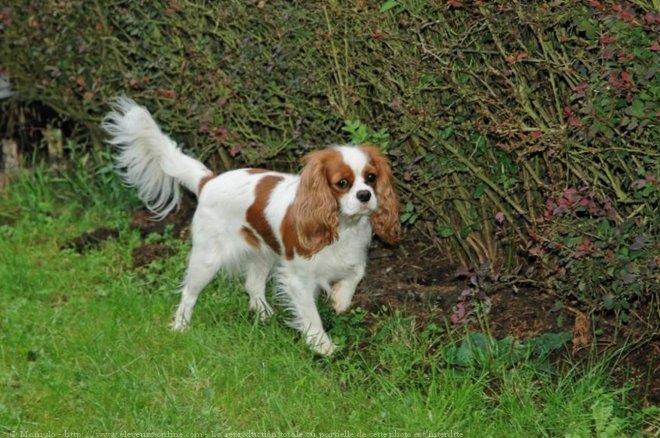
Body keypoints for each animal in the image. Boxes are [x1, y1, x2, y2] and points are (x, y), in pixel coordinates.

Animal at [103, 97, 400, 354]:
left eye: (371, 178)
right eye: (342, 183)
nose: (365, 195)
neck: (343, 226)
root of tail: (209, 180)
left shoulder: (355, 255)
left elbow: (356, 273)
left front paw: (340, 299)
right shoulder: (298, 279)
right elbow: (311, 315)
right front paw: (322, 346)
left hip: (262, 252)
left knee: (253, 284)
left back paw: (264, 313)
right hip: (207, 259)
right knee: (189, 292)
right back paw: (180, 326)